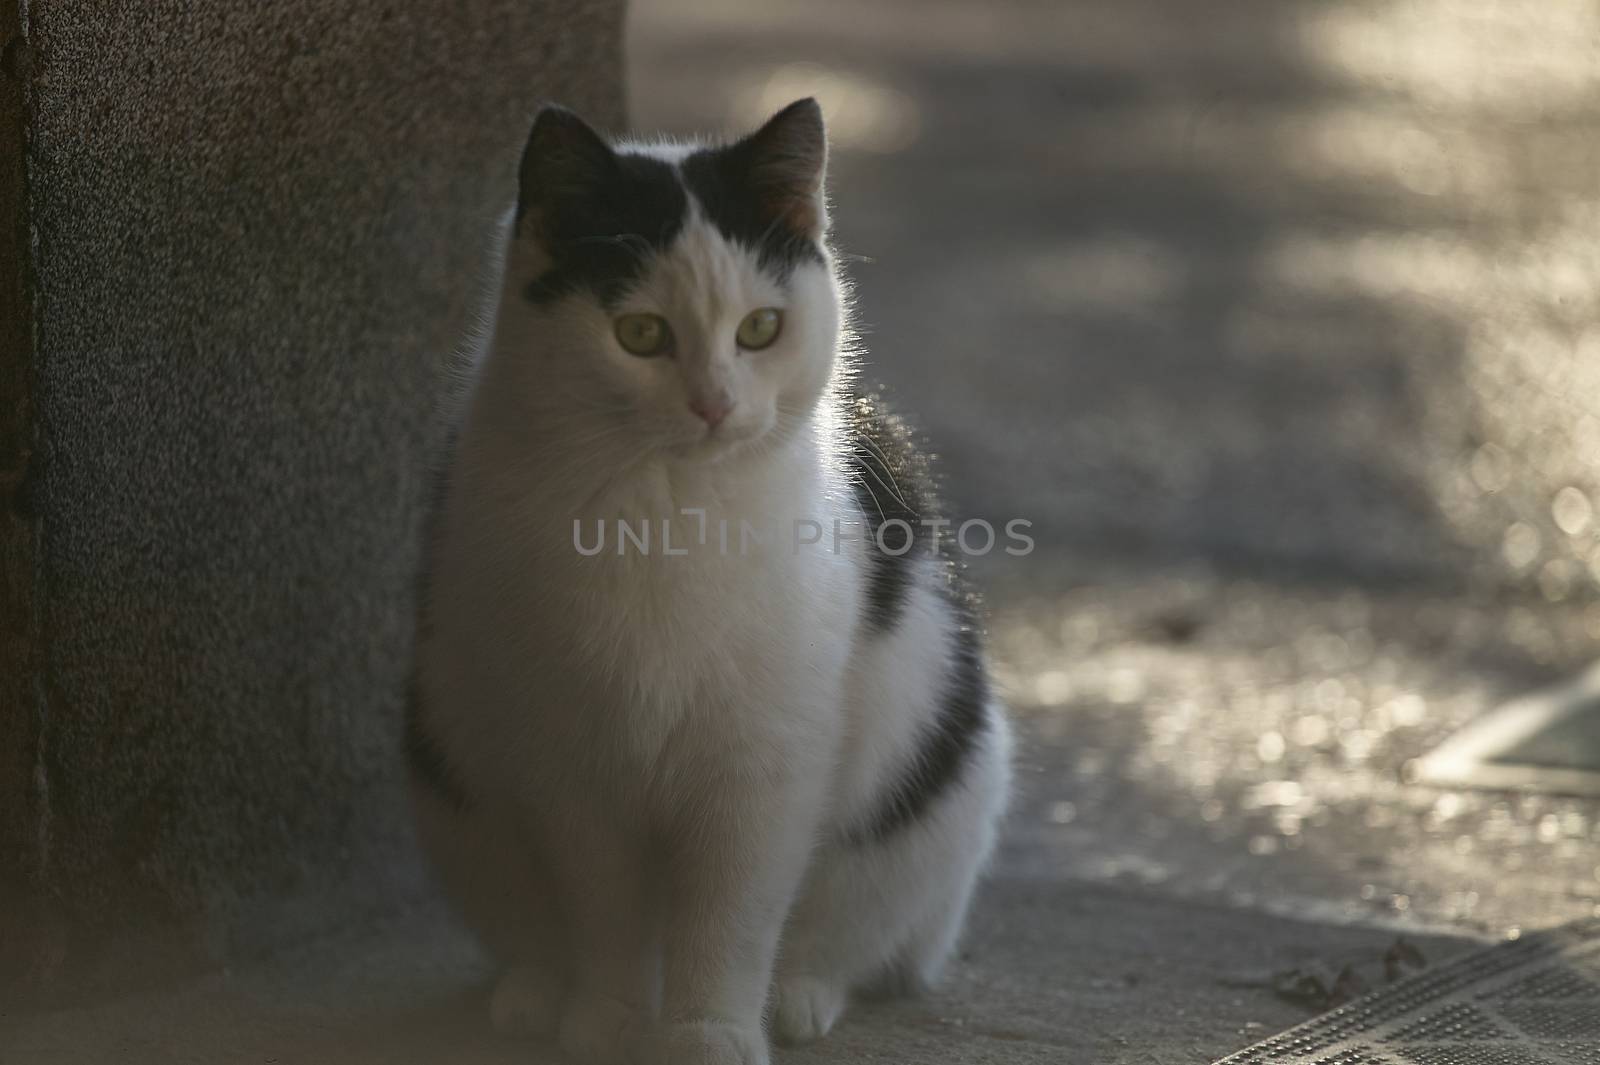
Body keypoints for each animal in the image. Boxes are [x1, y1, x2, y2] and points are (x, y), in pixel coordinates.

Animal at [412, 97, 1011, 1061]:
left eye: (760, 328)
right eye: (640, 333)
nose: (714, 405)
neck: (666, 507)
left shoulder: (760, 764)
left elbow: (730, 915)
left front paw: (707, 1031)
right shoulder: (572, 762)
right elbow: (603, 910)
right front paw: (607, 1018)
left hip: (940, 797)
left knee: (853, 937)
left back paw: (799, 996)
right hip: (454, 790)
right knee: (530, 927)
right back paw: (535, 994)